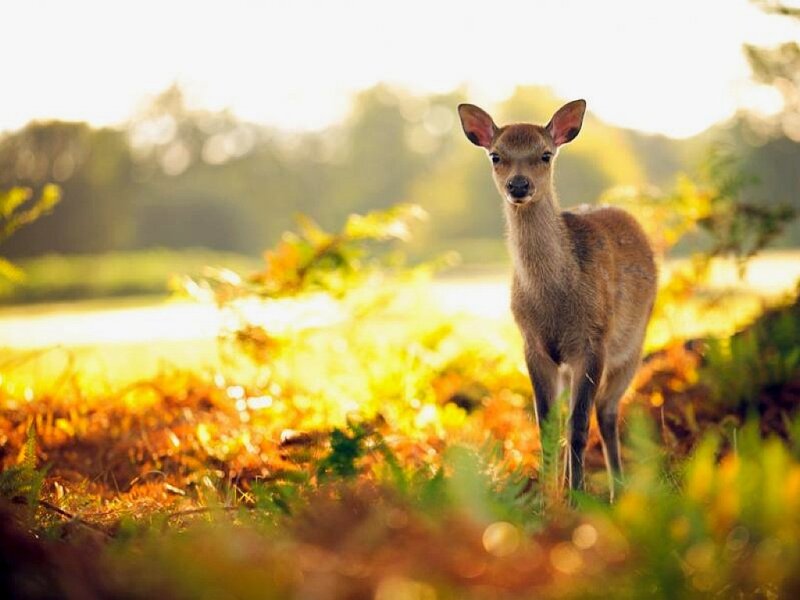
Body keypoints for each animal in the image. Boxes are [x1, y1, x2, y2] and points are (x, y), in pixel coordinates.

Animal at [457, 99, 657, 499]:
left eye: (545, 154)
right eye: (496, 155)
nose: (519, 185)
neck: (554, 303)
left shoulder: (593, 340)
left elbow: (579, 427)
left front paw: (576, 498)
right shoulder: (532, 345)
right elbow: (547, 426)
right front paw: (548, 500)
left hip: (633, 344)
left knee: (606, 412)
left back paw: (616, 490)